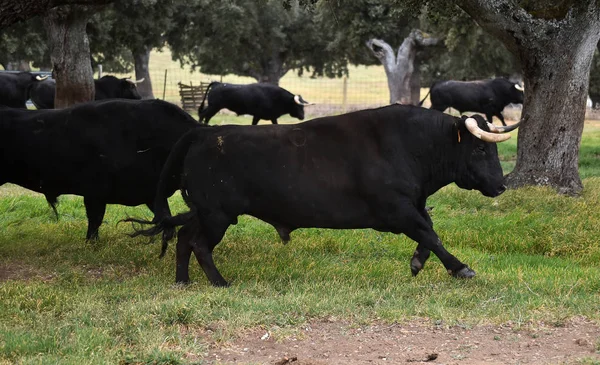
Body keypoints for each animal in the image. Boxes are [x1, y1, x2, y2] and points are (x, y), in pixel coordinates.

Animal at [129, 104, 516, 286]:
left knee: (183, 237)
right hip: (216, 215)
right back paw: (220, 282)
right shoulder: (397, 210)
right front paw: (460, 267)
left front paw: (418, 261)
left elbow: (429, 231)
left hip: (205, 212)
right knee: (198, 243)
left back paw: (182, 281)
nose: (501, 186)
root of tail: (204, 133)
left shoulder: (412, 206)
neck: (409, 145)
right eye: (481, 149)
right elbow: (430, 234)